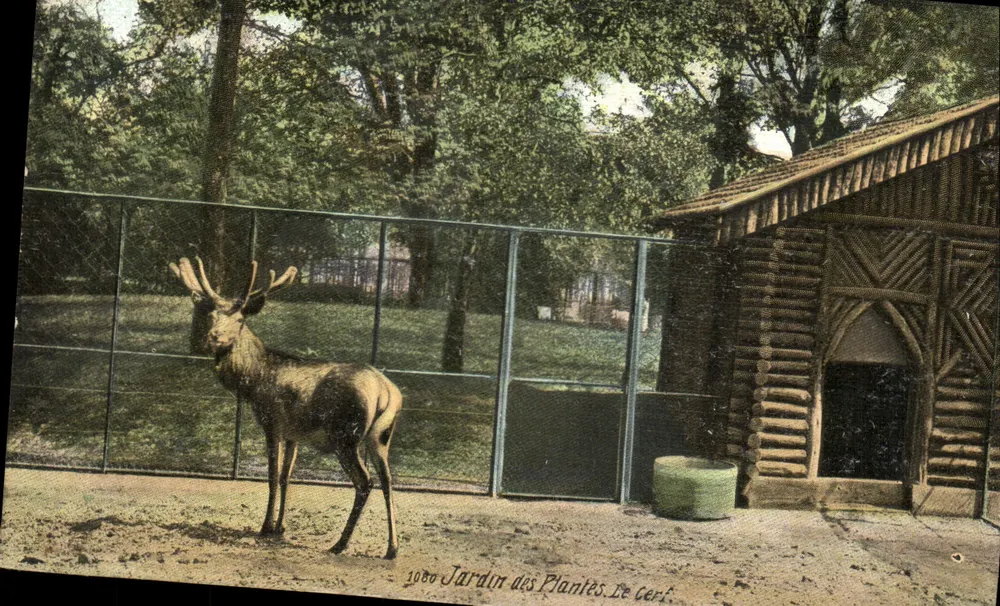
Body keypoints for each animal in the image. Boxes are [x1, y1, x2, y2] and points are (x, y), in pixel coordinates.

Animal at [169, 256, 403, 559]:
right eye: (212, 316)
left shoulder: (272, 422)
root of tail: (387, 392)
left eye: (240, 319)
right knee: (388, 480)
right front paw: (281, 526)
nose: (215, 338)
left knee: (366, 482)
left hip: (346, 435)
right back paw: (392, 548)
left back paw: (340, 544)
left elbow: (271, 476)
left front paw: (266, 526)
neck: (252, 380)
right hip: (381, 437)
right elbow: (285, 477)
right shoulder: (294, 433)